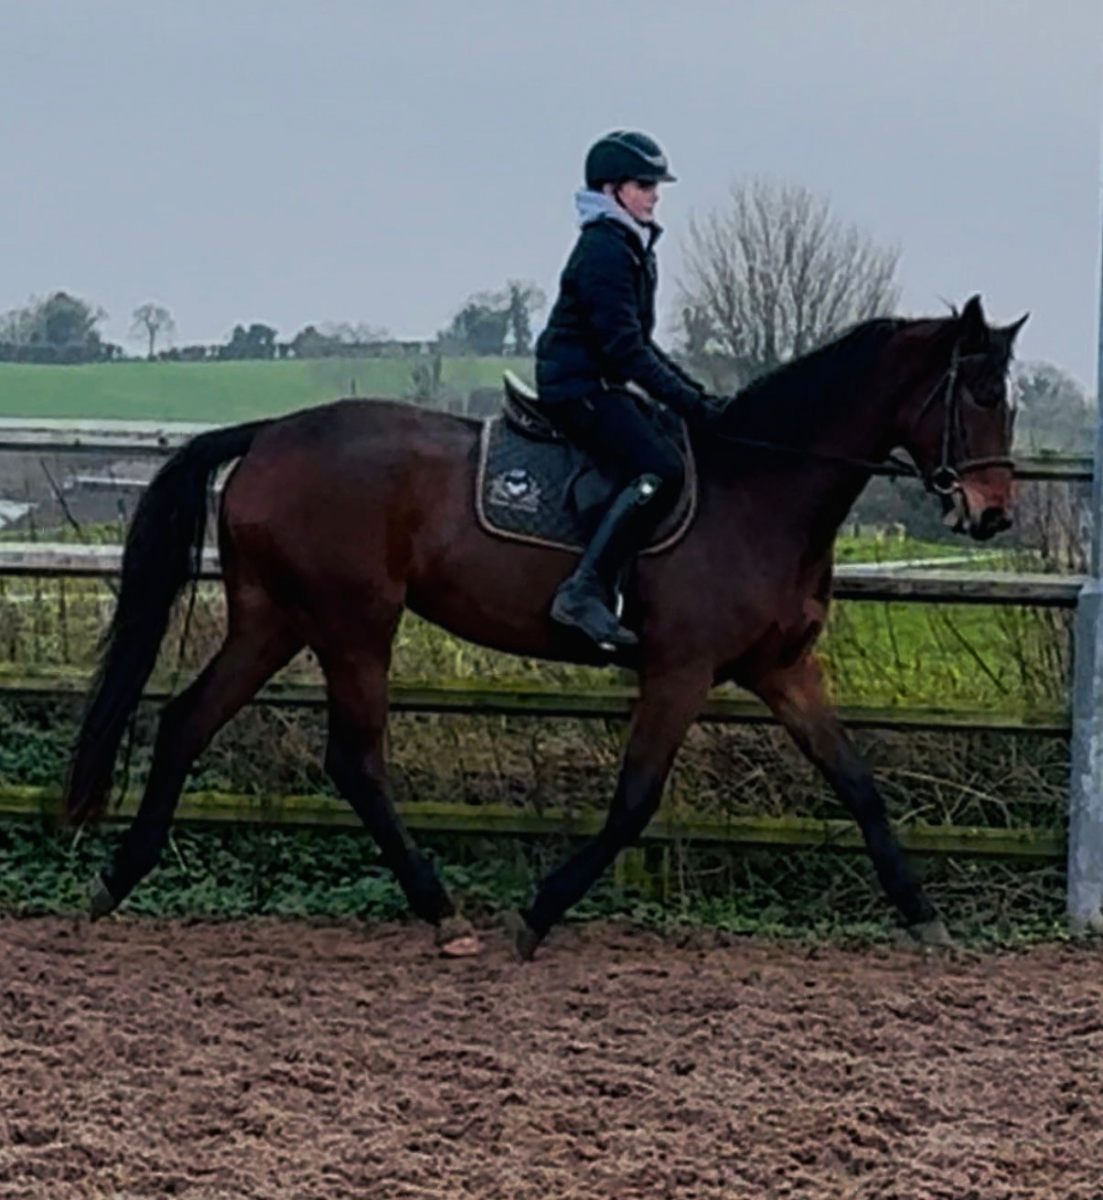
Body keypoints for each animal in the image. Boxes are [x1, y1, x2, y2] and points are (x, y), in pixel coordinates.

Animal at [63, 294, 1026, 959]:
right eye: (976, 394)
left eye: (1009, 401)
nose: (992, 516)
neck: (758, 491)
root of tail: (267, 436)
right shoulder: (678, 671)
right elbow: (633, 803)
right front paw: (539, 912)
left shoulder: (784, 670)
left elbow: (859, 786)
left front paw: (925, 918)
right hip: (352, 622)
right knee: (355, 762)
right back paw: (444, 913)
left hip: (275, 617)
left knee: (187, 721)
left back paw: (118, 881)